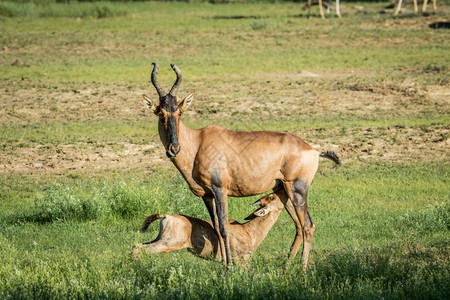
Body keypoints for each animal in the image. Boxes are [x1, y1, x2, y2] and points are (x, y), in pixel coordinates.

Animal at [131, 192, 284, 264]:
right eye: (272, 197)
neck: (247, 230)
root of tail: (167, 216)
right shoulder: (241, 260)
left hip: (160, 239)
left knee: (136, 246)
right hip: (169, 243)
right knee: (143, 249)